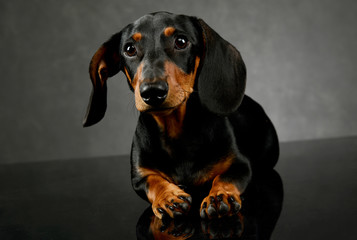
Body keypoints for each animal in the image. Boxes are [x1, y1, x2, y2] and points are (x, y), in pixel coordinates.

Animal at [82, 12, 278, 220]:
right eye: (129, 49)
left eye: (181, 42)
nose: (152, 91)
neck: (176, 131)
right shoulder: (139, 176)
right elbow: (152, 181)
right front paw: (168, 196)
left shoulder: (240, 165)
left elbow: (224, 178)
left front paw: (219, 196)